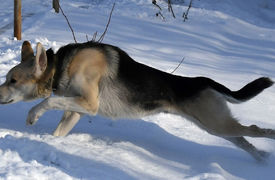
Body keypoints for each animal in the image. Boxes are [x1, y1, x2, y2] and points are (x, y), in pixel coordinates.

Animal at [0, 41, 274, 162]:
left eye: (13, 80)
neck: (61, 65)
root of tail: (204, 81)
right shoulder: (75, 109)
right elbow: (58, 129)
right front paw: (50, 143)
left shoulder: (88, 104)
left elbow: (46, 103)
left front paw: (32, 116)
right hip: (217, 126)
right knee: (245, 139)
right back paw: (261, 159)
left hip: (218, 125)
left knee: (256, 130)